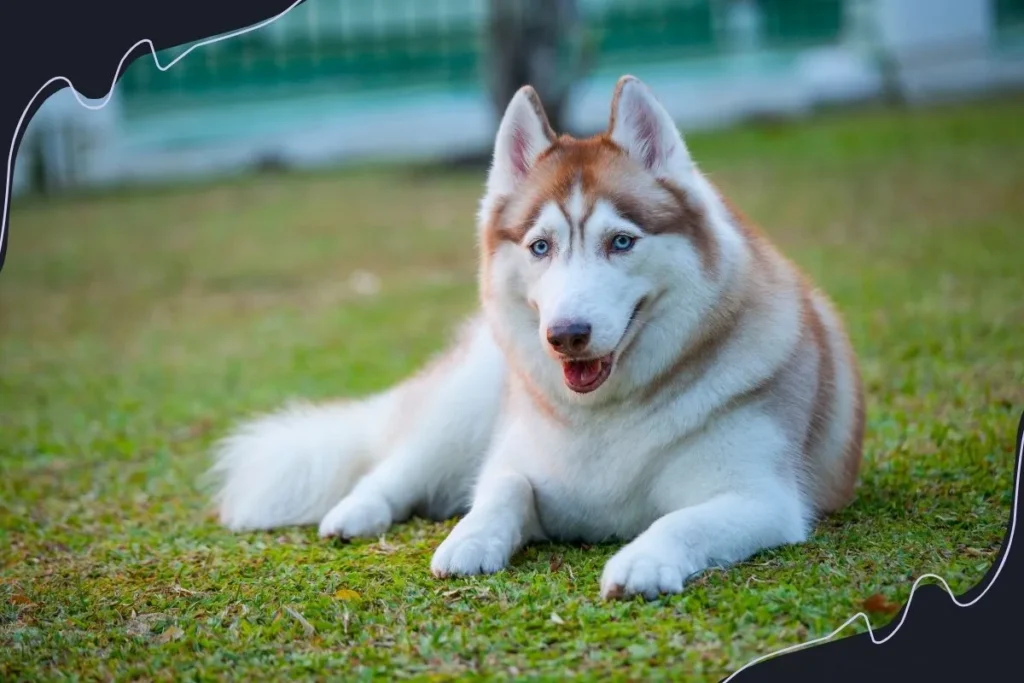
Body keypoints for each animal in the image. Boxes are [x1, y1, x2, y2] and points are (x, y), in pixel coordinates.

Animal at [214, 73, 864, 598]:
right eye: (540, 247)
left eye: (621, 241)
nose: (566, 335)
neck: (608, 416)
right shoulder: (517, 461)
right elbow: (502, 488)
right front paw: (470, 539)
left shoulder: (762, 500)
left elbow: (681, 520)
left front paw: (643, 561)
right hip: (463, 407)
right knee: (393, 468)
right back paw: (354, 514)